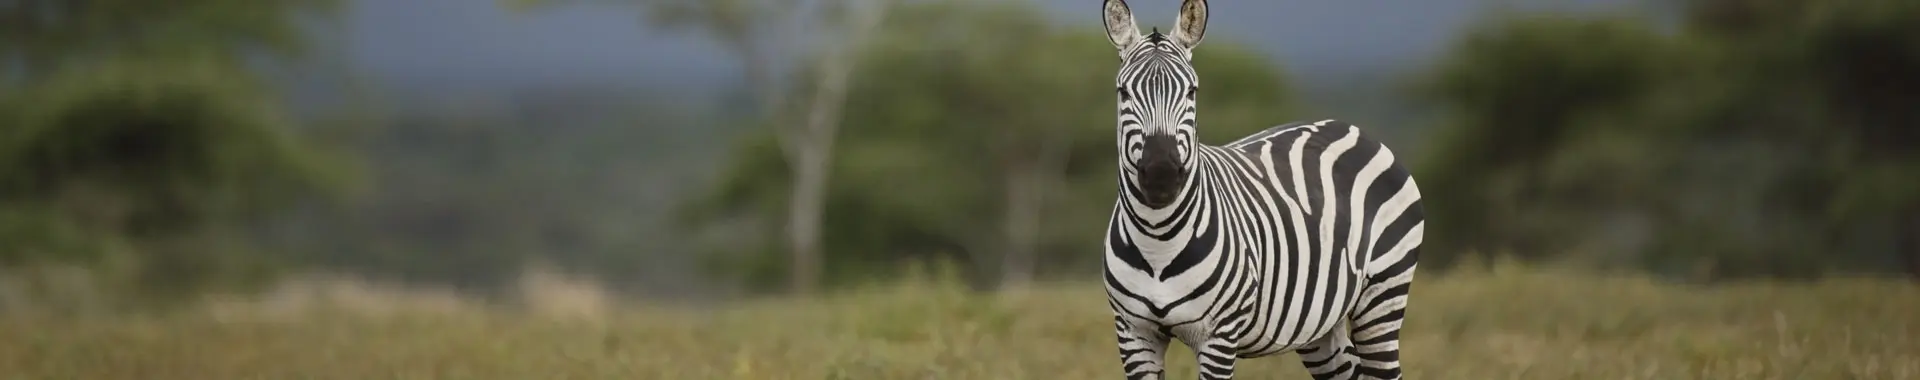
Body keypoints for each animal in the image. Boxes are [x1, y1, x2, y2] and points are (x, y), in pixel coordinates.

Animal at [1098, 0, 1428, 380]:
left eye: (1192, 91)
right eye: (1123, 92)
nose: (1161, 175)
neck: (1157, 243)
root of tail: (1353, 128)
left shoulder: (1219, 337)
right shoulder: (1133, 334)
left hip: (1383, 293)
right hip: (1318, 324)